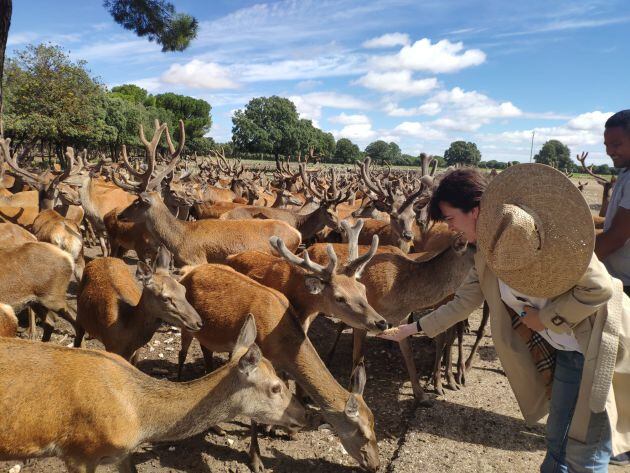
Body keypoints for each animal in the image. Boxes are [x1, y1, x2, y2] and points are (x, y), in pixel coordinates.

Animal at [75, 249, 205, 364]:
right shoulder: (111, 347)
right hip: (79, 317)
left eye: (183, 290)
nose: (199, 322)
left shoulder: (136, 351)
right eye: (165, 298)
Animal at [177, 264, 380, 470]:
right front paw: (256, 460)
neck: (282, 344)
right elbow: (254, 414)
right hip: (188, 324)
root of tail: (187, 271)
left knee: (206, 354)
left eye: (374, 425)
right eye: (362, 432)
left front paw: (285, 431)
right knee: (182, 353)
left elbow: (285, 386)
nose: (376, 465)